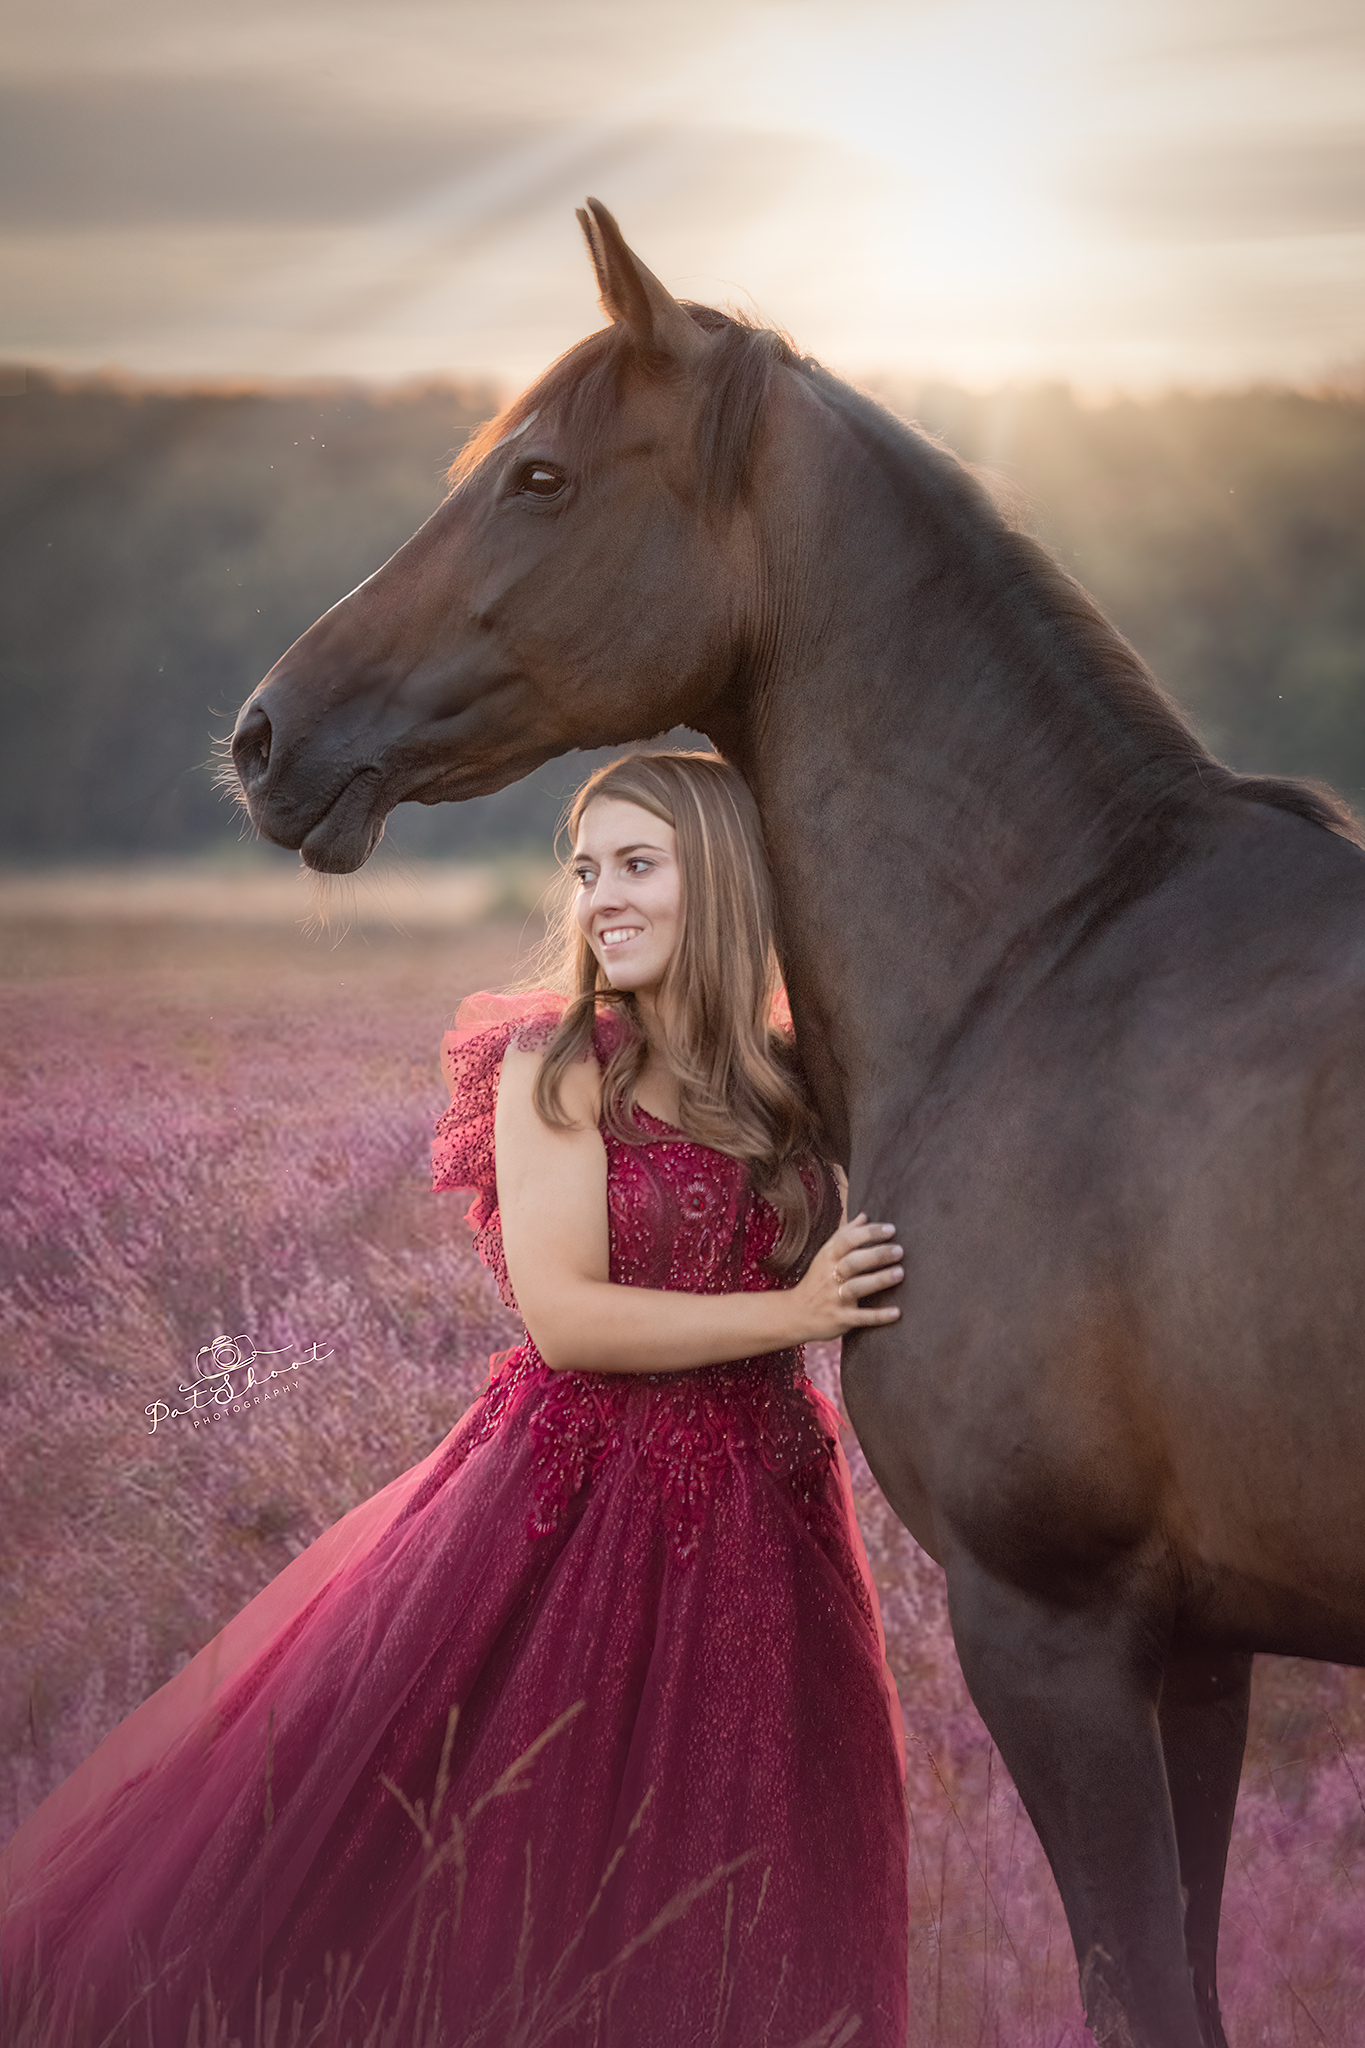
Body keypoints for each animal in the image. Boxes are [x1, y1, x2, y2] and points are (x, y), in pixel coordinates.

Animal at [229, 201, 1365, 2048]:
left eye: (537, 476)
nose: (267, 733)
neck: (1046, 952)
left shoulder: (1056, 1636)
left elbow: (1138, 1982)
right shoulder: (1202, 1647)